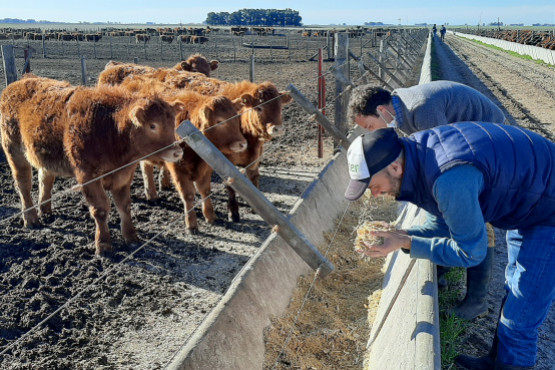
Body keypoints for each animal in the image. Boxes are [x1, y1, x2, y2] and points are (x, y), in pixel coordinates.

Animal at [0, 74, 184, 254]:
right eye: (153, 126)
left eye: (173, 123)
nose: (177, 152)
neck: (110, 129)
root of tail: (18, 83)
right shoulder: (87, 175)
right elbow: (100, 208)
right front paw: (103, 244)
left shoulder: (123, 176)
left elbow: (124, 205)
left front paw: (131, 236)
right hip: (13, 150)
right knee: (23, 184)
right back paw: (31, 218)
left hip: (45, 155)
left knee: (45, 179)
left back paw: (45, 210)